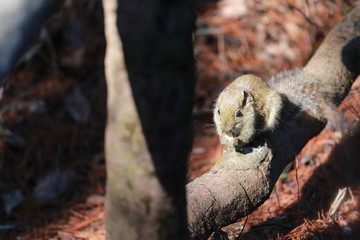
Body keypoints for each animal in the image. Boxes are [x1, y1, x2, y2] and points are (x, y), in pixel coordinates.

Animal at [214, 68, 344, 149]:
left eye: (239, 113)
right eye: (218, 111)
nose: (226, 130)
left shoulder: (251, 118)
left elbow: (248, 133)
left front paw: (238, 140)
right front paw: (222, 139)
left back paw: (260, 138)